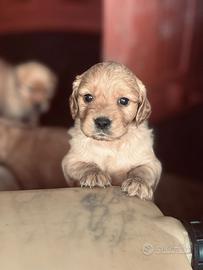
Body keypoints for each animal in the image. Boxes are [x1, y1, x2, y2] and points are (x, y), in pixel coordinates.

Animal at [62, 61, 162, 200]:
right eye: (88, 97)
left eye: (124, 101)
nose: (102, 122)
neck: (110, 144)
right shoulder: (70, 161)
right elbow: (86, 165)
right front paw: (94, 174)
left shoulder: (152, 163)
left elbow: (142, 170)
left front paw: (138, 183)